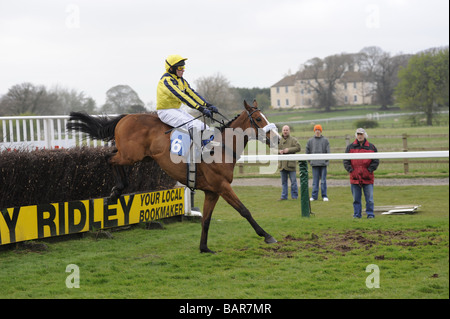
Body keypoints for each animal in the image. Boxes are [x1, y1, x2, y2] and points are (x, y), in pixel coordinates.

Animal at [67, 101, 280, 254]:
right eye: (258, 119)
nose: (277, 138)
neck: (221, 148)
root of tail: (126, 117)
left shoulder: (212, 192)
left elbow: (206, 220)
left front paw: (204, 248)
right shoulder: (222, 186)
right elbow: (244, 210)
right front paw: (267, 235)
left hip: (138, 156)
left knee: (111, 154)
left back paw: (117, 190)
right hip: (130, 155)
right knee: (108, 158)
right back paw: (117, 190)